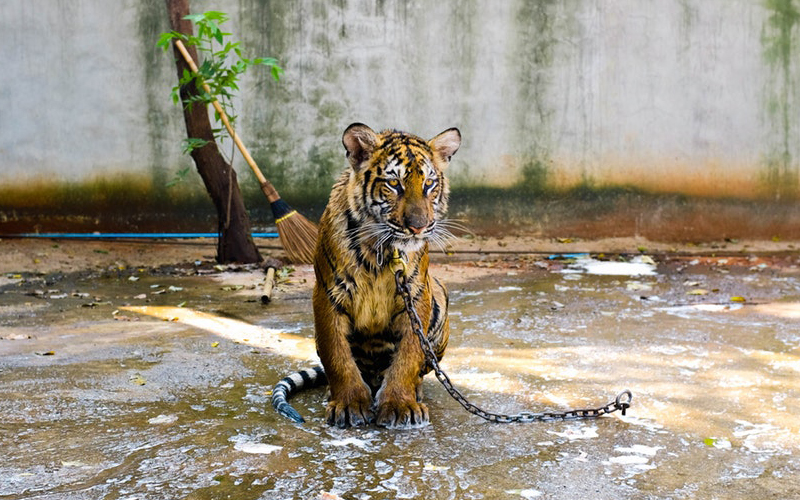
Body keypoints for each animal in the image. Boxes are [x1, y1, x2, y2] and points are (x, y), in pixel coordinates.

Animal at [272, 122, 461, 429]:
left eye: (429, 184)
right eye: (394, 184)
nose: (419, 228)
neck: (380, 251)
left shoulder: (415, 294)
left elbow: (409, 356)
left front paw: (400, 403)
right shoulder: (328, 294)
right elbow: (337, 356)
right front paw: (349, 403)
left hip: (439, 295)